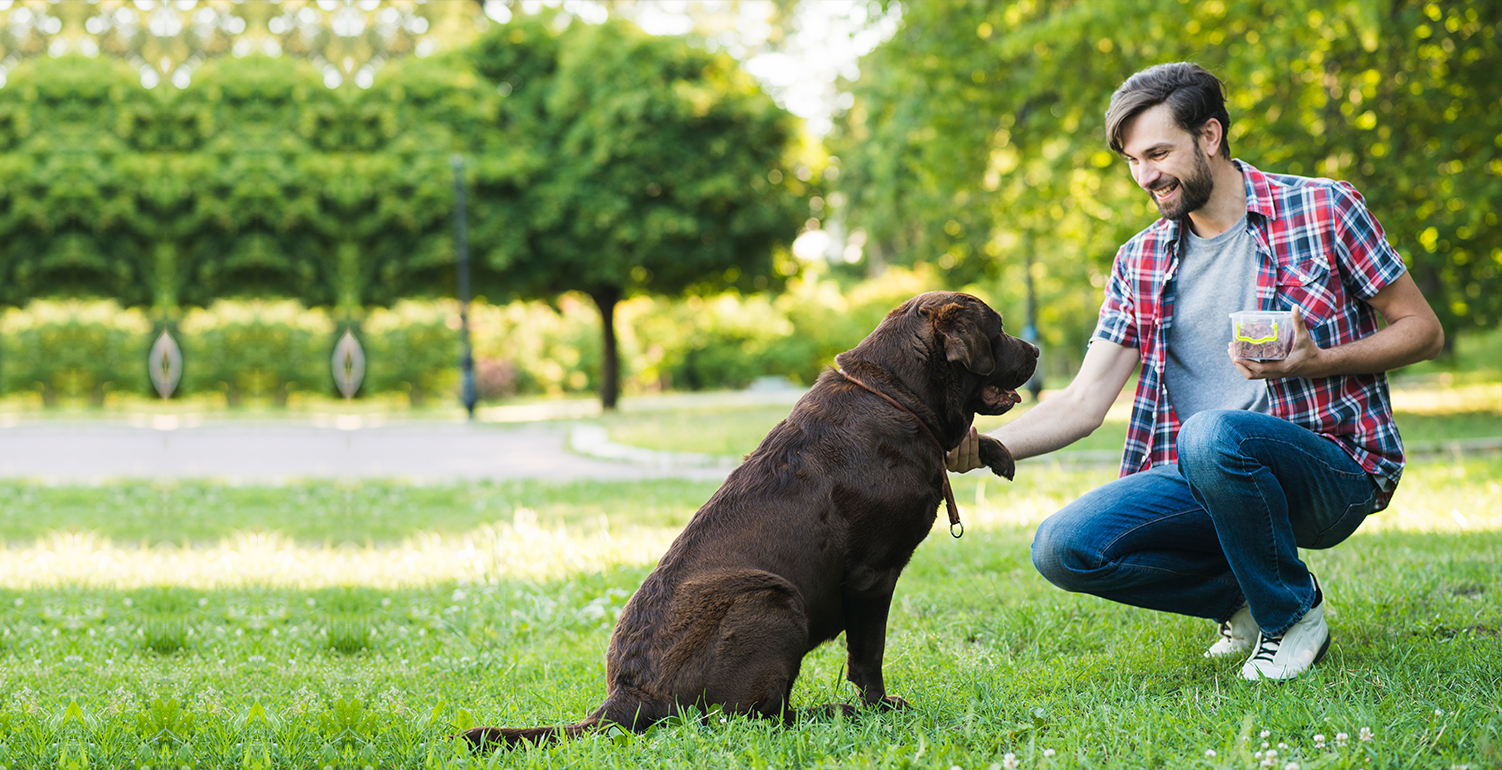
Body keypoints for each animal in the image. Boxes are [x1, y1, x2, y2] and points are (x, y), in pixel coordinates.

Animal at [465, 289, 1033, 744]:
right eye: (1000, 328)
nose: (1035, 350)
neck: (896, 396)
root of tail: (626, 694)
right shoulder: (872, 576)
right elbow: (868, 654)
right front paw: (879, 706)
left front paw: (996, 452)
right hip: (771, 597)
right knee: (754, 717)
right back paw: (835, 712)